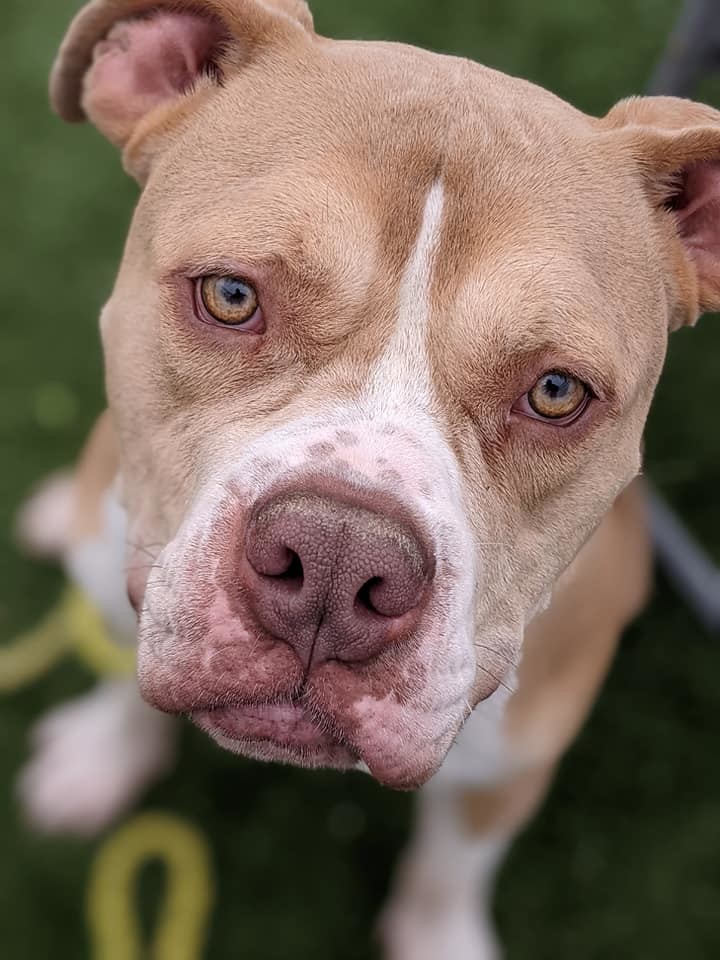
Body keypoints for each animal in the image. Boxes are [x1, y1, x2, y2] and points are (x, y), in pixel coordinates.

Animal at [12, 1, 720, 952]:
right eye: (231, 295)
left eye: (556, 392)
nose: (336, 561)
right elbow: (123, 677)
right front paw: (101, 756)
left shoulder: (512, 762)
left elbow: (453, 863)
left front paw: (439, 937)